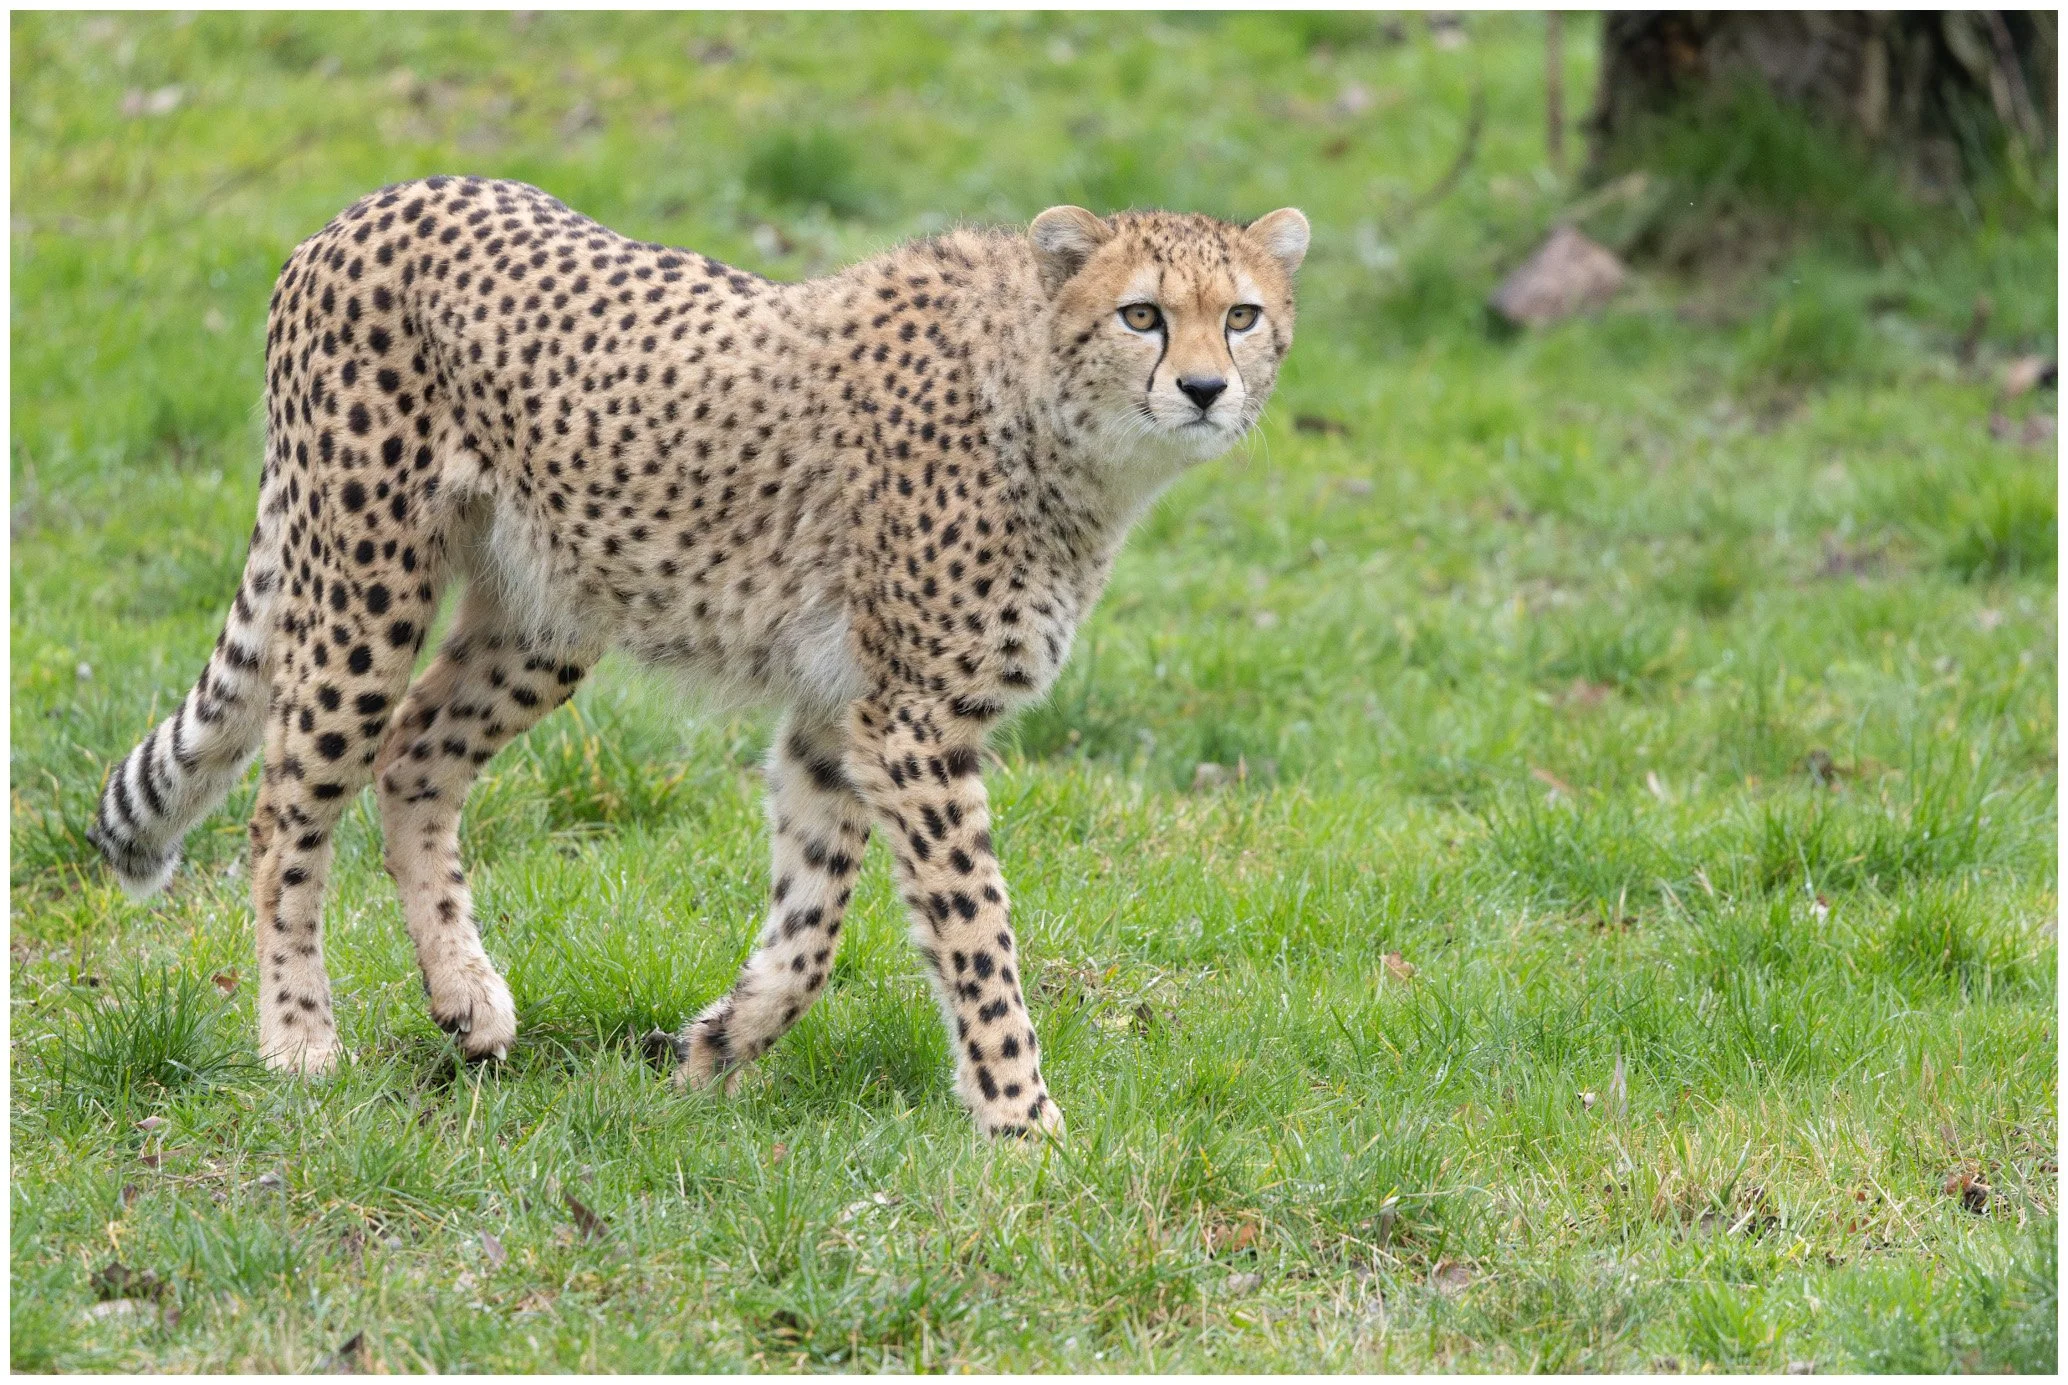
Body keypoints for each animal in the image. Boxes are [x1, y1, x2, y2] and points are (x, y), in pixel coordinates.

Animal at [87, 175, 1307, 1137]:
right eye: (1142, 314)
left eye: (1242, 315)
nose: (1206, 389)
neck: (1053, 415)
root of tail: (373, 202)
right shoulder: (913, 719)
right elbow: (976, 933)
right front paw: (1023, 1119)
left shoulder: (837, 714)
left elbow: (811, 923)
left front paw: (723, 1041)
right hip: (361, 580)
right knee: (286, 802)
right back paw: (298, 1034)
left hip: (545, 613)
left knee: (416, 753)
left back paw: (465, 993)